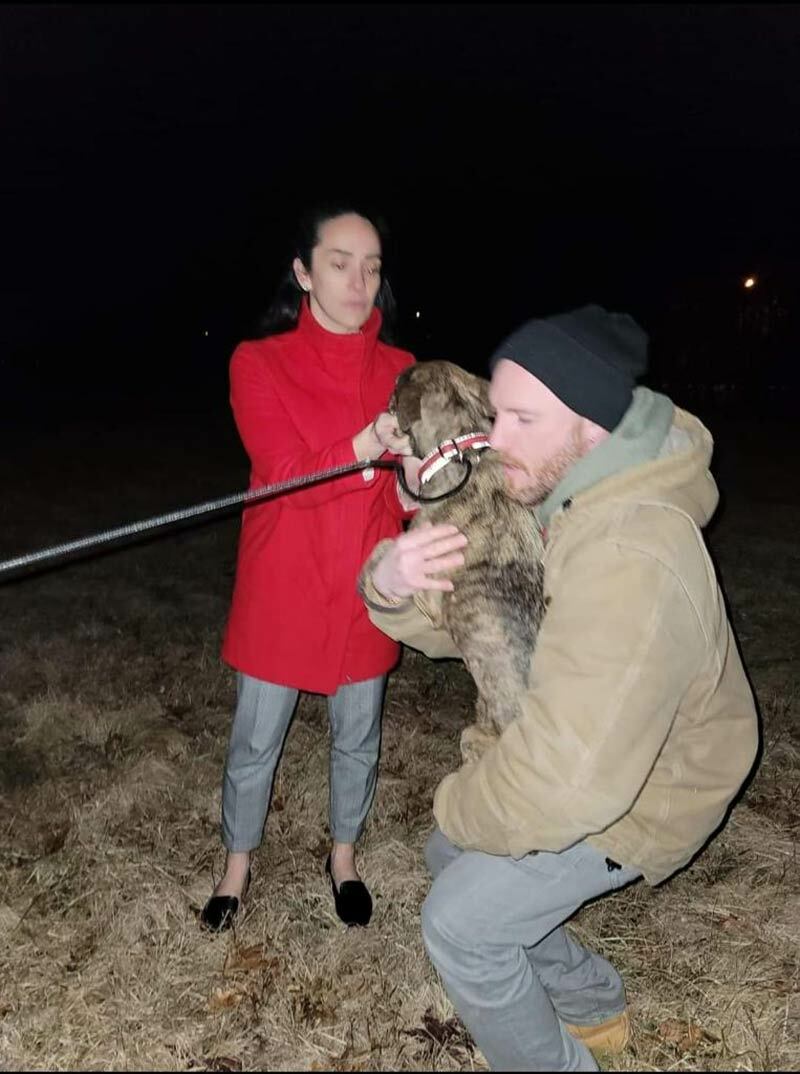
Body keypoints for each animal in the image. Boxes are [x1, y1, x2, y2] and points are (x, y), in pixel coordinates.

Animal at [367, 363, 545, 764]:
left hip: (472, 735)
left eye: (393, 390)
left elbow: (385, 547)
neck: (457, 453)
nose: (379, 415)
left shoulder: (431, 592)